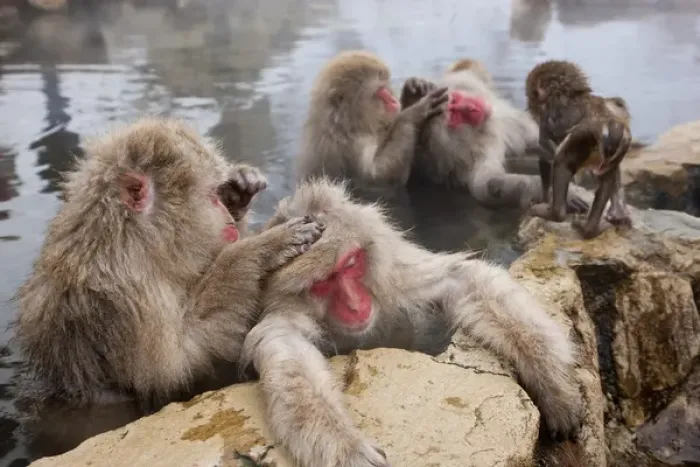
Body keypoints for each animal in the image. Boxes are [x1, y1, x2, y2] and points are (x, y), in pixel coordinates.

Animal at [13, 117, 325, 412]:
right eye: (210, 198)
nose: (226, 214)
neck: (128, 240)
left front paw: (239, 191)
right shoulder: (127, 298)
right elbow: (178, 365)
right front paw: (262, 248)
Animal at [241, 178, 584, 467]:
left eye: (351, 263)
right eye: (324, 282)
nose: (354, 304)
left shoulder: (397, 279)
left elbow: (460, 277)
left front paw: (552, 383)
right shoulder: (286, 315)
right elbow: (290, 354)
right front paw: (346, 445)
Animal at [296, 50, 449, 188]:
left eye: (385, 85)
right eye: (380, 91)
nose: (393, 100)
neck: (351, 125)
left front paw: (413, 89)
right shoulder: (346, 146)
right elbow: (379, 178)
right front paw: (414, 112)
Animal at [399, 58, 591, 213]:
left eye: (455, 98)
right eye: (453, 110)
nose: (469, 107)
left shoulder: (507, 125)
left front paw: (415, 89)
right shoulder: (465, 151)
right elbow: (489, 185)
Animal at [524, 60, 633, 239]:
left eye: (534, 97)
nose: (532, 105)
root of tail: (609, 126)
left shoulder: (548, 118)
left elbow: (547, 154)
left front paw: (545, 200)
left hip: (582, 137)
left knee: (561, 161)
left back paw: (555, 213)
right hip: (618, 147)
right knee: (607, 175)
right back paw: (593, 228)